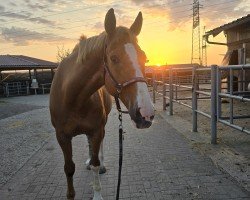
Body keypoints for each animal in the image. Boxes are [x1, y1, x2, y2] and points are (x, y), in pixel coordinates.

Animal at [49, 8, 154, 199]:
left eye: (145, 58)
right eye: (113, 58)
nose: (146, 113)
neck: (74, 97)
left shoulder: (96, 131)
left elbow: (96, 163)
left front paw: (97, 192)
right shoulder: (61, 136)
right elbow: (69, 168)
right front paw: (70, 194)